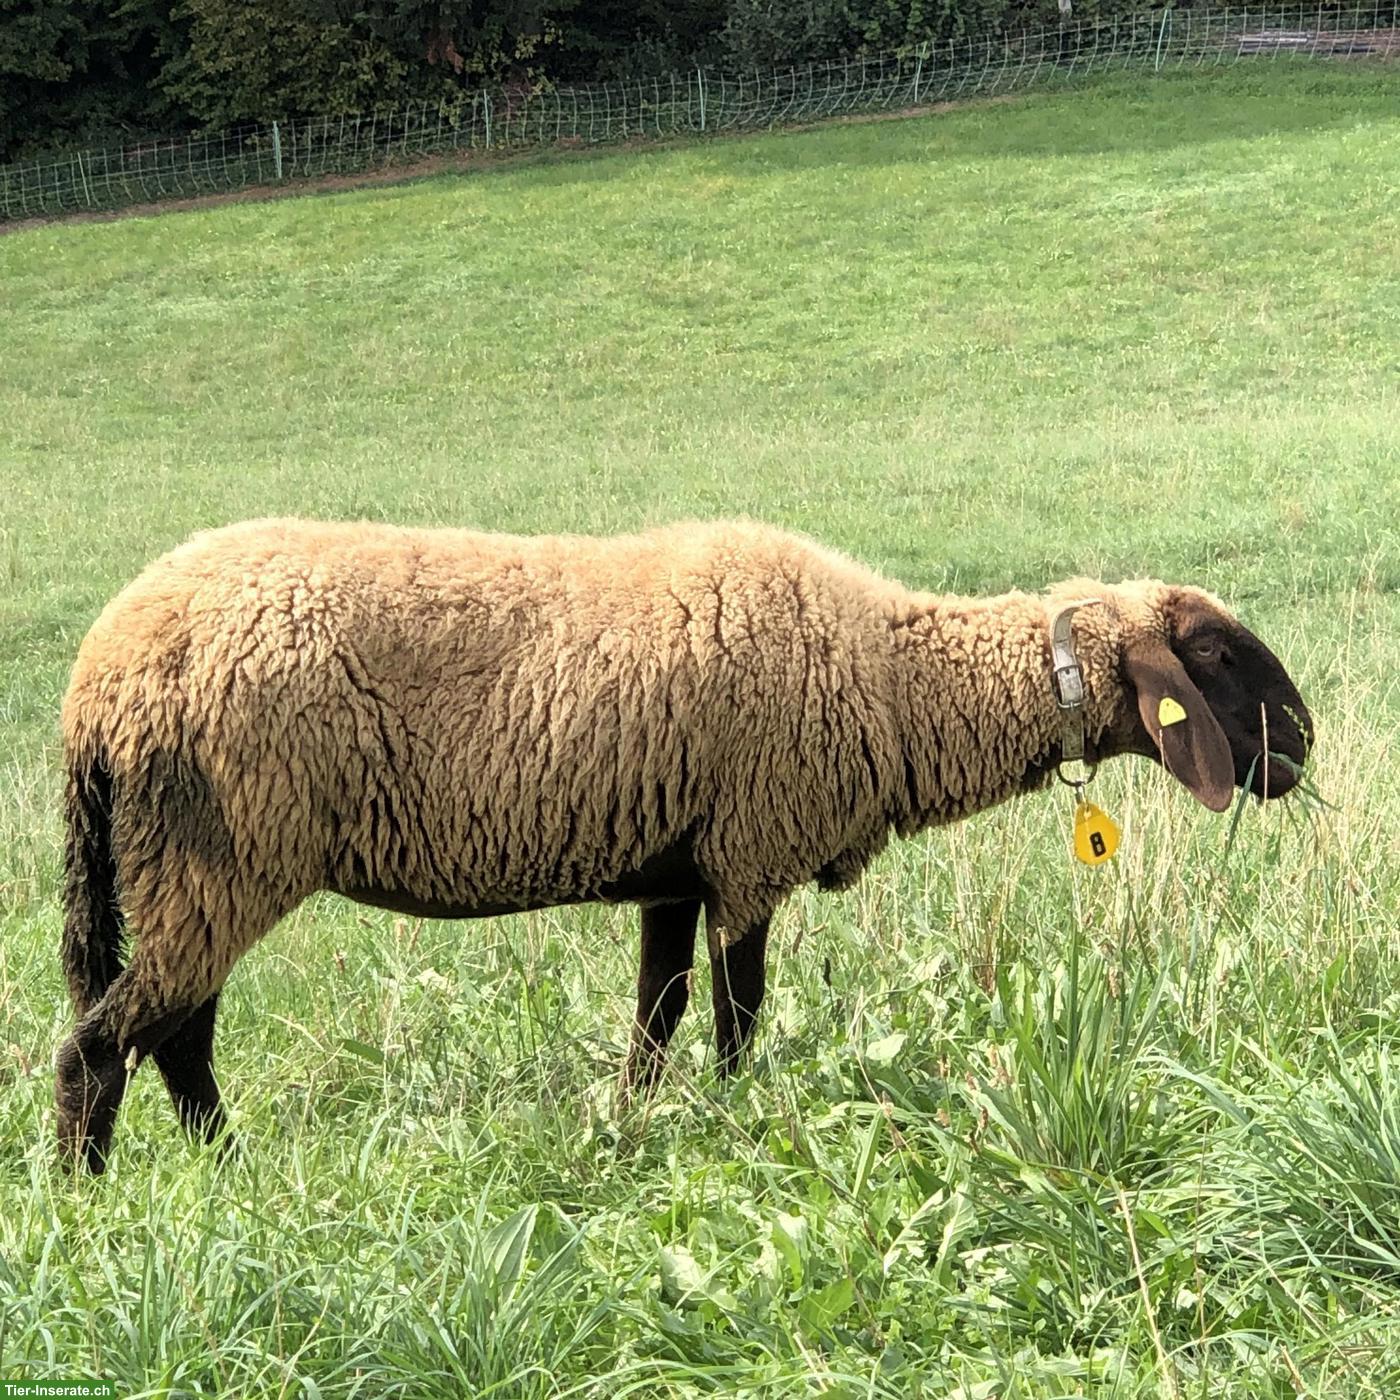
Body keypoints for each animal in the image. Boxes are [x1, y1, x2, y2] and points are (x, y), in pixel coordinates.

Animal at [55, 518, 1311, 1171]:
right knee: (104, 1042)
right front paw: (734, 1125)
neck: (894, 677)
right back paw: (89, 1200)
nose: (1302, 743)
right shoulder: (749, 853)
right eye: (1214, 651)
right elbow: (735, 1020)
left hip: (191, 866)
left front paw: (637, 1129)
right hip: (221, 854)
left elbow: (650, 1027)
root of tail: (96, 679)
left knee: (175, 1037)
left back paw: (227, 1169)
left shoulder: (673, 868)